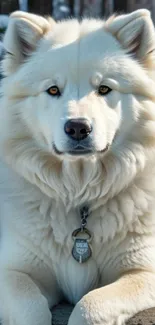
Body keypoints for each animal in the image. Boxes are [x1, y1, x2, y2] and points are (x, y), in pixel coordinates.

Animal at [0, 7, 155, 324]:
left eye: (104, 88)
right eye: (53, 90)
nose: (78, 128)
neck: (79, 193)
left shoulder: (143, 270)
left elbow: (89, 306)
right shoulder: (13, 271)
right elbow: (31, 307)